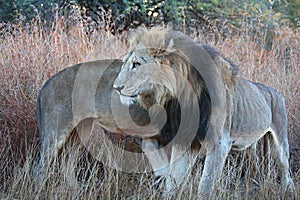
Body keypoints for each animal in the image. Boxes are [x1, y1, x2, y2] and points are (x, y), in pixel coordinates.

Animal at [113, 27, 296, 198]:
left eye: (137, 64)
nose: (116, 87)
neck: (176, 96)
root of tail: (274, 91)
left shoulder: (219, 143)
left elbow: (206, 184)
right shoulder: (186, 138)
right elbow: (173, 175)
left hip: (280, 140)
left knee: (285, 167)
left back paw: (288, 189)